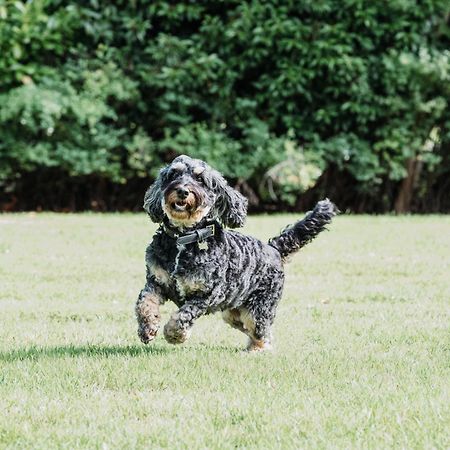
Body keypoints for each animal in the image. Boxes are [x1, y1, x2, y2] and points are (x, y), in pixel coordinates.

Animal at [135, 155, 336, 352]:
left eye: (200, 179)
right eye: (174, 174)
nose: (183, 191)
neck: (183, 239)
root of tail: (273, 248)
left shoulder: (206, 294)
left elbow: (183, 315)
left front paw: (174, 334)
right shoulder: (156, 282)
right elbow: (144, 303)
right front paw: (148, 327)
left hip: (258, 308)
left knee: (262, 332)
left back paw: (256, 350)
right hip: (233, 312)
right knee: (252, 330)